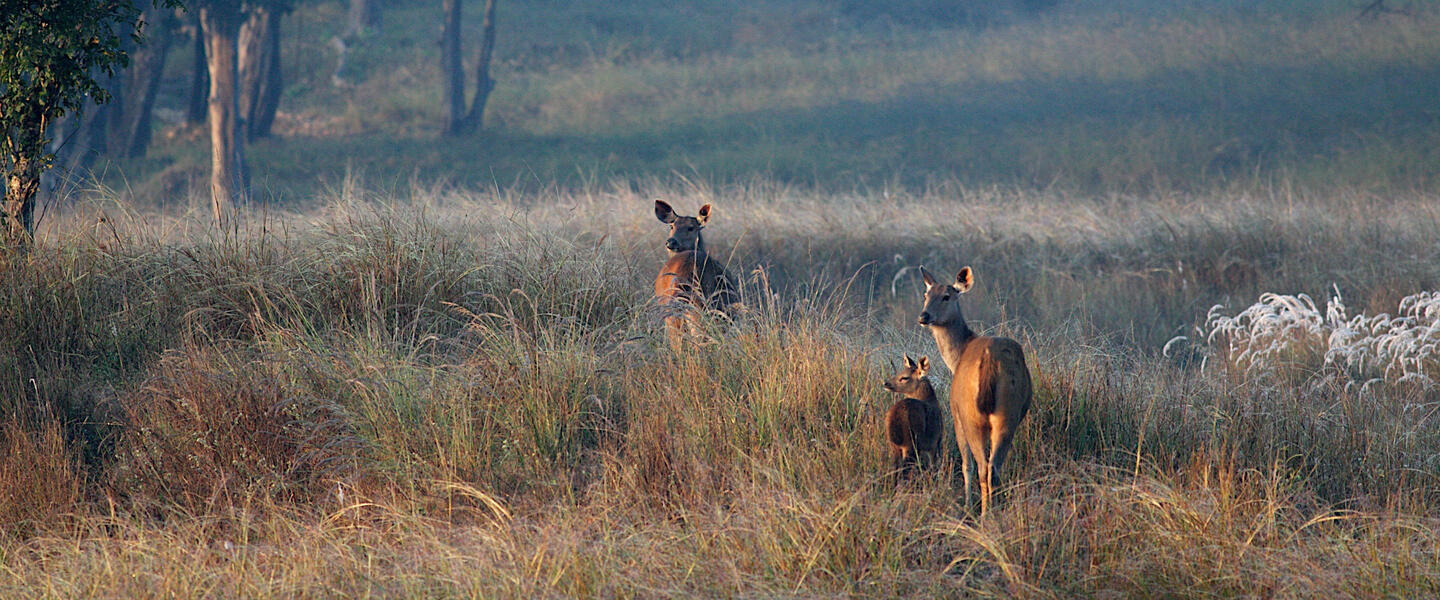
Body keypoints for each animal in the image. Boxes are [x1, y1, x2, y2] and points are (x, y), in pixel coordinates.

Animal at [875, 352, 944, 483]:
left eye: (904, 377)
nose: (886, 383)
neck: (930, 400)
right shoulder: (936, 440)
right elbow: (934, 466)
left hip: (894, 445)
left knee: (895, 469)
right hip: (911, 442)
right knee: (904, 469)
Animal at [915, 266, 1031, 515]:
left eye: (946, 296)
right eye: (926, 295)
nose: (923, 316)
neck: (957, 356)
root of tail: (990, 360)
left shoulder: (955, 415)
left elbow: (965, 464)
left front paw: (967, 504)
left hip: (971, 416)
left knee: (981, 466)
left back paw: (983, 513)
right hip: (1008, 412)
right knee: (994, 467)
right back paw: (995, 511)